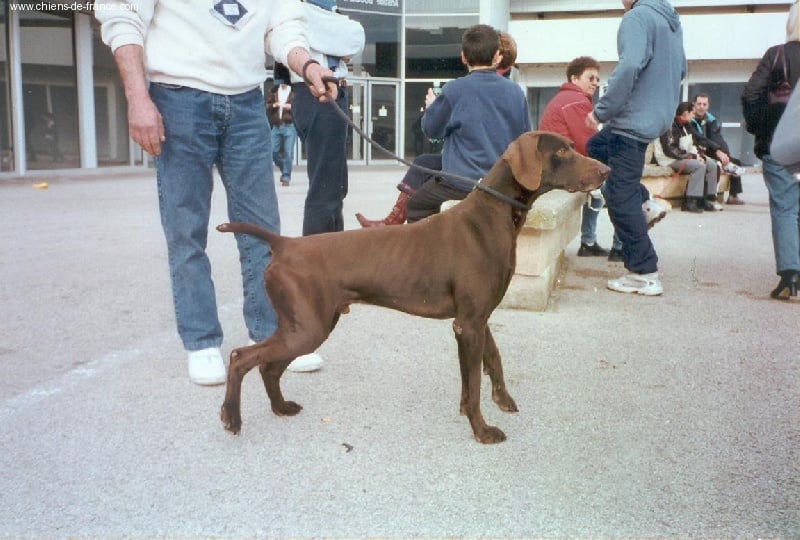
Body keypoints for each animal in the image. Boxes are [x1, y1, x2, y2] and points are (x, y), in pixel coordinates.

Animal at [217, 131, 608, 442]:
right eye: (562, 151)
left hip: (309, 325)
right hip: (307, 328)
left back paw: (281, 407)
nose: (606, 171)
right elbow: (474, 383)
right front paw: (482, 430)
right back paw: (232, 417)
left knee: (268, 367)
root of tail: (285, 244)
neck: (491, 214)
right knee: (241, 358)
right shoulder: (468, 324)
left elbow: (491, 363)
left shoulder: (477, 318)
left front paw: (498, 402)